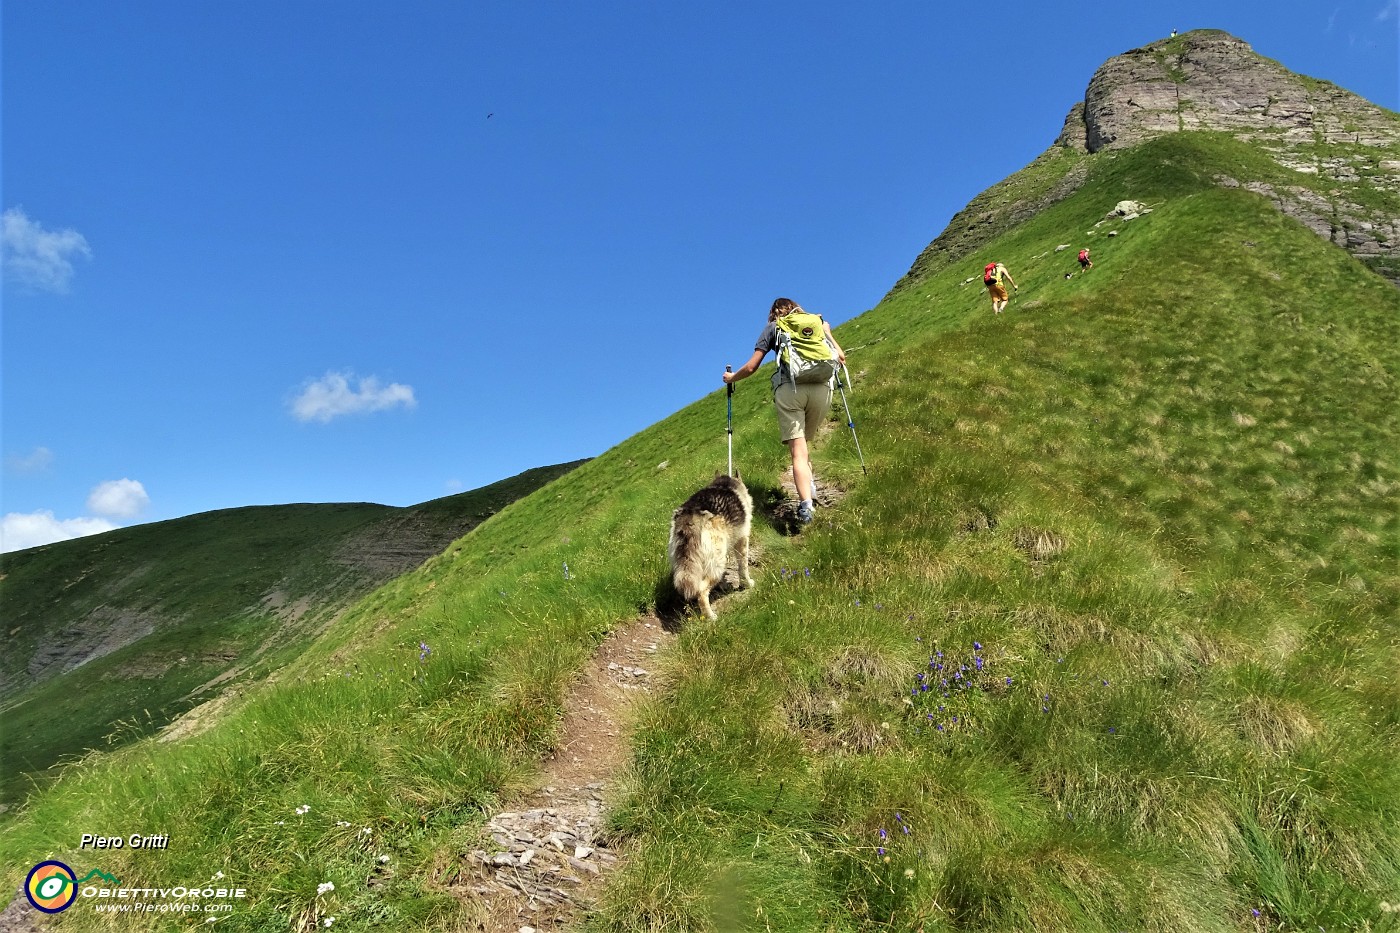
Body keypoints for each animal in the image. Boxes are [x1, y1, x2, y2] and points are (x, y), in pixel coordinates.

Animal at [666, 473, 756, 616]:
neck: (724, 484)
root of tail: (690, 519)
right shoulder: (742, 541)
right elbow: (743, 568)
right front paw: (747, 584)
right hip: (717, 563)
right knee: (701, 592)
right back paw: (711, 617)